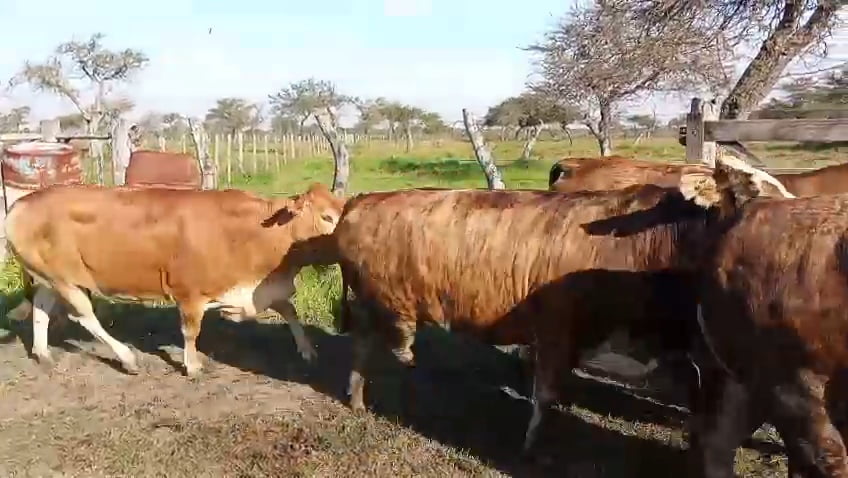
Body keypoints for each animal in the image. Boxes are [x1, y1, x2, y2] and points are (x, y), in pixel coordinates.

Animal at [4, 182, 345, 377]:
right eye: (326, 217)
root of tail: (22, 203)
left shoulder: (259, 289)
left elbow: (290, 310)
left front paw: (307, 349)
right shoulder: (189, 294)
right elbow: (191, 332)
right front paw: (192, 366)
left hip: (49, 275)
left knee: (41, 307)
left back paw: (43, 353)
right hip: (66, 280)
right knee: (84, 316)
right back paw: (127, 358)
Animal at [333, 153, 795, 455]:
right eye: (754, 192)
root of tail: (362, 199)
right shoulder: (557, 327)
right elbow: (546, 394)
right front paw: (532, 447)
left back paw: (358, 399)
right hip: (367, 302)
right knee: (361, 347)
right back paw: (357, 398)